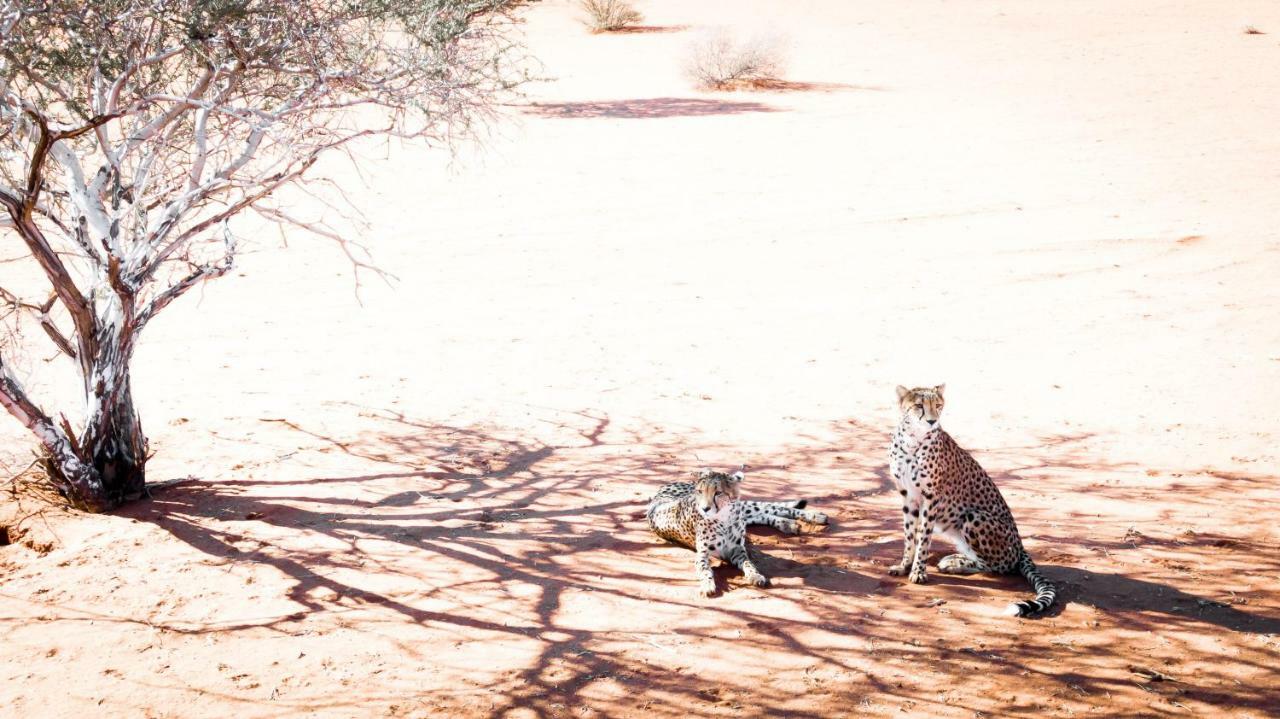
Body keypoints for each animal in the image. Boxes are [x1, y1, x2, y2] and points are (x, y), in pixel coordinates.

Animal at [650, 465, 829, 593]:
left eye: (718, 493)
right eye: (700, 492)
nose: (705, 508)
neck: (724, 518)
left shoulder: (737, 550)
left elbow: (749, 564)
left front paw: (755, 576)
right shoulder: (703, 553)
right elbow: (704, 569)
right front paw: (707, 585)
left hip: (745, 507)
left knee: (772, 508)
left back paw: (815, 516)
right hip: (746, 512)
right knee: (763, 514)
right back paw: (789, 524)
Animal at [890, 383, 1059, 614]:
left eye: (938, 405)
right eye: (918, 406)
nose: (932, 421)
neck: (912, 440)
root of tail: (1020, 545)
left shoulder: (931, 498)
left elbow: (923, 538)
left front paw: (918, 572)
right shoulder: (908, 496)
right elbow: (909, 536)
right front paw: (904, 566)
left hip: (974, 517)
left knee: (997, 566)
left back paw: (955, 565)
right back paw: (953, 559)